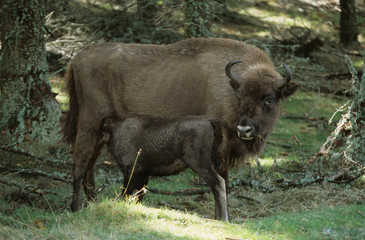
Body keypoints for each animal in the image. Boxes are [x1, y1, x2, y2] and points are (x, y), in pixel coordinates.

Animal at [62, 37, 296, 212]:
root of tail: (77, 58)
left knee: (90, 164)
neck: (230, 85)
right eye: (240, 96)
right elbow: (222, 183)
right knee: (80, 162)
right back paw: (75, 207)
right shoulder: (221, 153)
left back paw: (92, 203)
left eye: (269, 99)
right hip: (89, 122)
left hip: (101, 131)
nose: (244, 129)